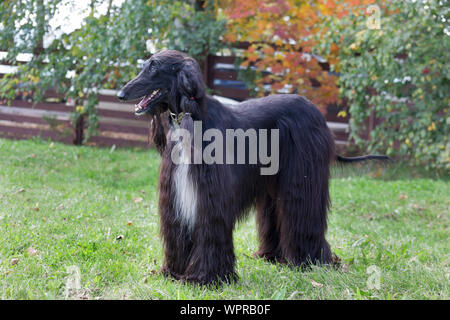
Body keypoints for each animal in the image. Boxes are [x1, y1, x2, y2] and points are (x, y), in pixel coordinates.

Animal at [118, 50, 388, 284]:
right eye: (145, 65)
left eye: (154, 68)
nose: (121, 94)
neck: (189, 119)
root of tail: (317, 113)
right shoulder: (175, 195)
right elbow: (177, 234)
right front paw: (173, 274)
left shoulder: (211, 196)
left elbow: (211, 232)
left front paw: (206, 278)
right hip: (274, 181)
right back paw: (273, 257)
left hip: (302, 180)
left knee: (303, 215)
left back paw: (311, 261)